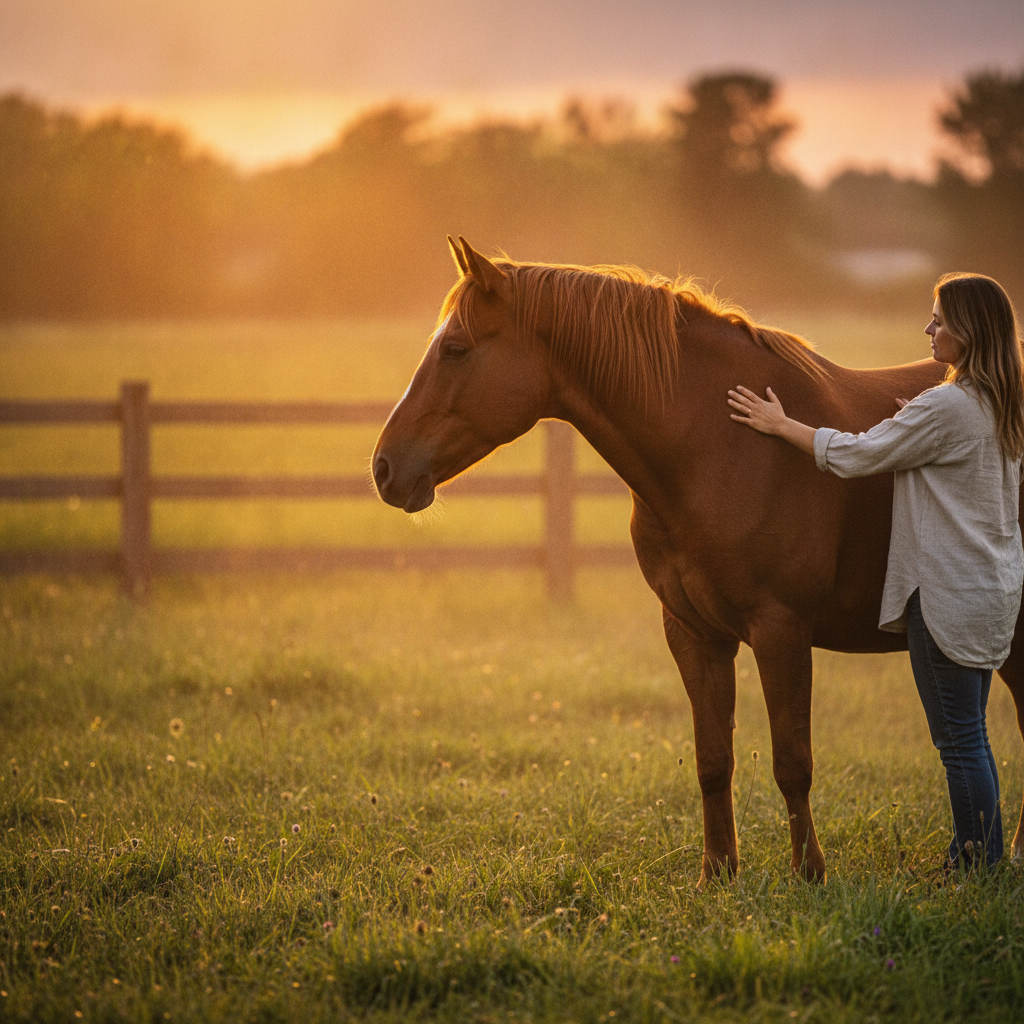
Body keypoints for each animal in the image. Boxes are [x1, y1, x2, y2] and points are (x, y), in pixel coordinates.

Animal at [372, 236, 1024, 885]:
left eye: (455, 349)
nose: (383, 468)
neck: (717, 446)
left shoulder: (781, 629)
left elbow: (792, 760)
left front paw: (808, 874)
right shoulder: (693, 632)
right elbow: (713, 759)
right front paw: (718, 873)